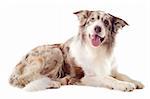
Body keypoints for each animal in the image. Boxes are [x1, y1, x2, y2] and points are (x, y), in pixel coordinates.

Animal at [9, 9, 144, 91]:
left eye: (106, 22)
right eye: (92, 20)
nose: (97, 28)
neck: (97, 50)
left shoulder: (112, 69)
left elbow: (122, 75)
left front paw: (135, 81)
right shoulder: (86, 77)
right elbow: (106, 78)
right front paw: (125, 85)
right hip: (56, 52)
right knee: (25, 78)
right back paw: (52, 83)